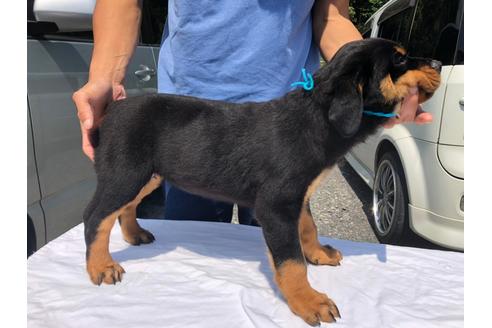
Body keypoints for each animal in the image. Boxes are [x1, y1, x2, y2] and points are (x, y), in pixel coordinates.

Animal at [82, 38, 440, 326]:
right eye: (399, 60)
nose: (438, 63)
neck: (318, 117)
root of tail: (110, 110)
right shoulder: (277, 204)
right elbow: (292, 262)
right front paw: (309, 301)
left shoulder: (298, 196)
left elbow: (308, 229)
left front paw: (318, 254)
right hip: (126, 172)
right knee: (96, 216)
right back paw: (101, 266)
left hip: (148, 174)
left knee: (123, 208)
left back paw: (134, 235)